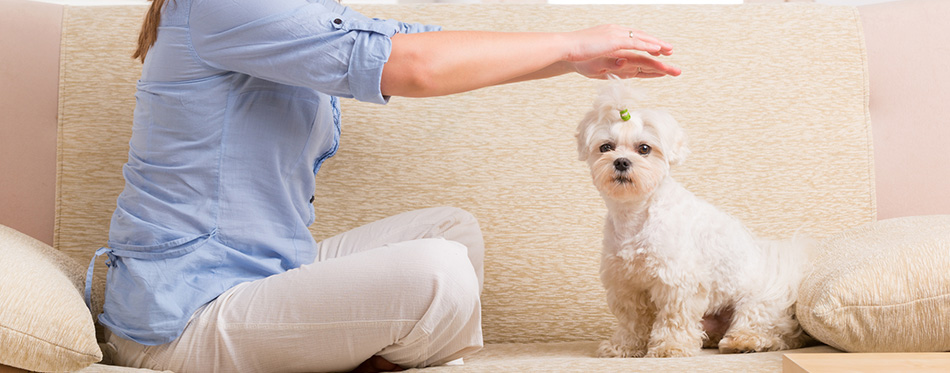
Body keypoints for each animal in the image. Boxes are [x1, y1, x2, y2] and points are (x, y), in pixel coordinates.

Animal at [576, 80, 816, 358]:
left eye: (644, 148)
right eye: (606, 147)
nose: (621, 162)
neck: (636, 215)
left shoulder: (678, 280)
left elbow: (673, 318)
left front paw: (670, 346)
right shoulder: (625, 283)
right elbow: (632, 320)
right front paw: (625, 346)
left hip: (758, 300)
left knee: (773, 333)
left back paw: (744, 341)